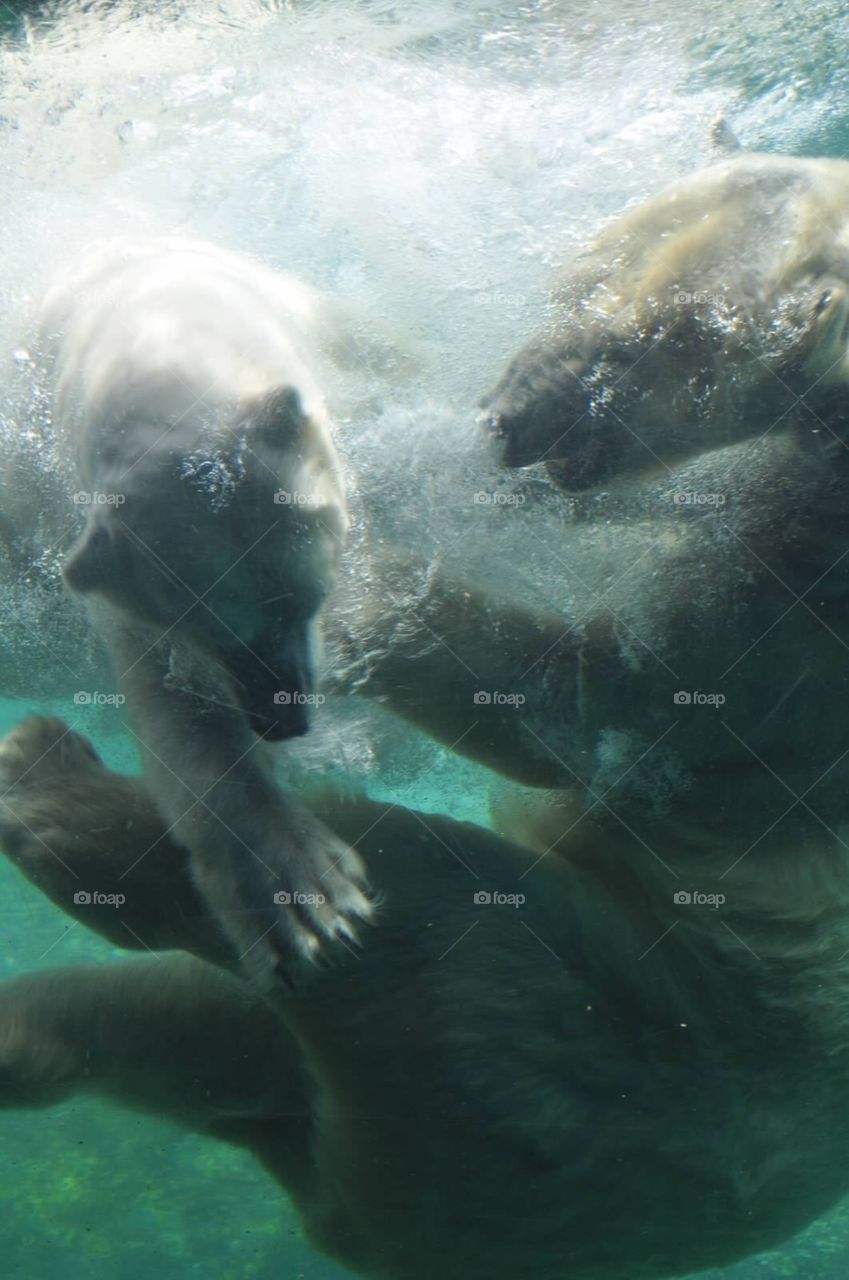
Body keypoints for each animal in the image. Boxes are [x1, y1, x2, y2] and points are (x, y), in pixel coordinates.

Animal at [35, 236, 373, 979]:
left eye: (302, 600)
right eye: (201, 631)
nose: (283, 723)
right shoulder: (108, 570)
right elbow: (174, 711)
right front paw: (305, 899)